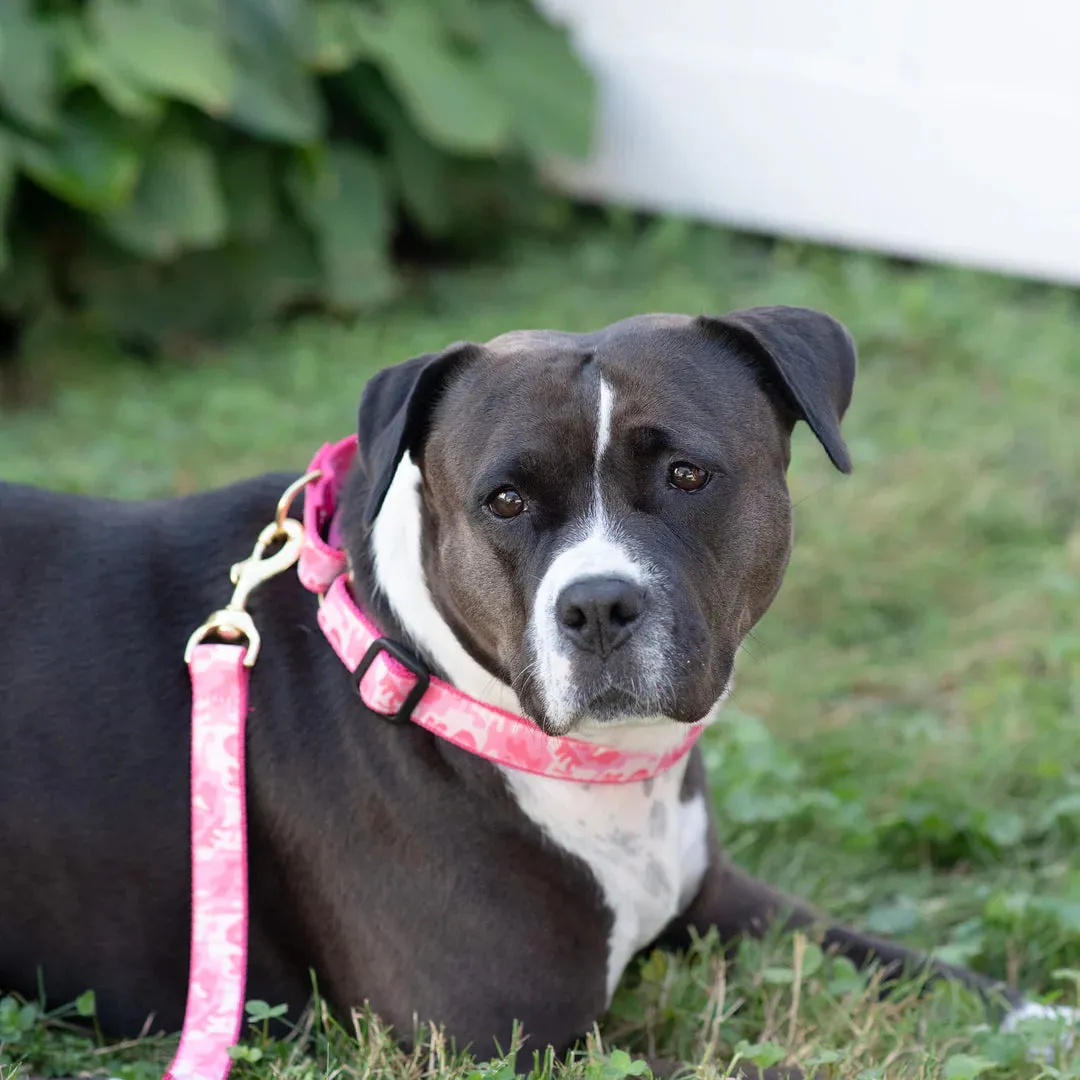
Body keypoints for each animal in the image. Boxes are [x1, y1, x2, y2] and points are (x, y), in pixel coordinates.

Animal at [0, 308, 1067, 1075]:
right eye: (505, 501)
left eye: (688, 474)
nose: (596, 605)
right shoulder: (494, 1041)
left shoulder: (719, 900)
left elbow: (896, 957)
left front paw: (1043, 1014)